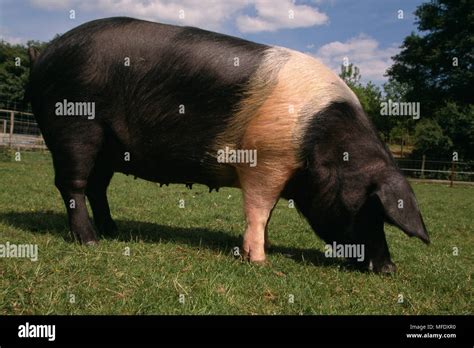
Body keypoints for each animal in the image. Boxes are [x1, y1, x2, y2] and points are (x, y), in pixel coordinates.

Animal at [27, 17, 432, 274]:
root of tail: (43, 54)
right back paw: (91, 242)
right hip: (76, 124)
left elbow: (267, 213)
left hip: (109, 145)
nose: (390, 269)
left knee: (97, 187)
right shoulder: (265, 161)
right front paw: (259, 262)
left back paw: (113, 231)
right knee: (72, 184)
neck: (320, 142)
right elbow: (259, 209)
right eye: (369, 209)